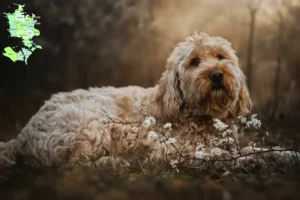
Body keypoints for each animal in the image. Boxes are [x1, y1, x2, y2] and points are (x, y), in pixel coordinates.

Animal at [0, 32, 252, 167]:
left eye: (220, 57)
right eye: (195, 62)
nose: (217, 74)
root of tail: (22, 136)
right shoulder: (166, 152)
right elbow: (211, 154)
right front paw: (231, 158)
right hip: (93, 124)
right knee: (73, 164)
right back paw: (113, 163)